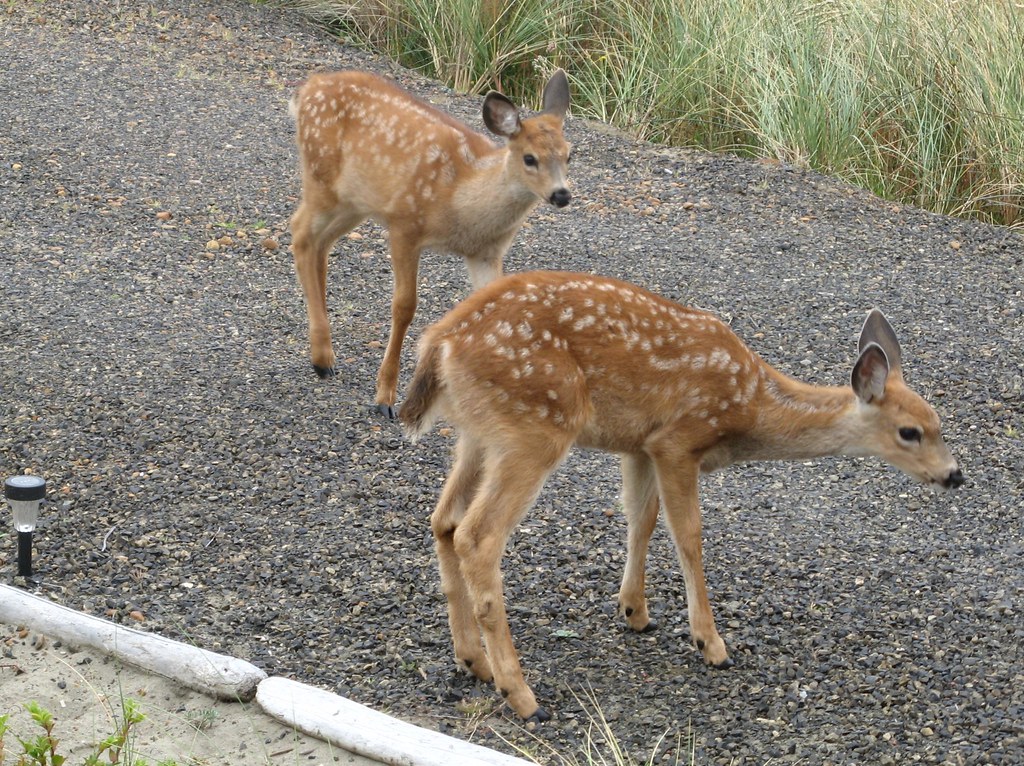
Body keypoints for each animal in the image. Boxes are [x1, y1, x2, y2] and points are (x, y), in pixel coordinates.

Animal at [288, 69, 572, 418]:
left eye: (569, 154)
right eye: (530, 158)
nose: (561, 194)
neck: (459, 197)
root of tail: (307, 88)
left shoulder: (486, 253)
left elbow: (494, 305)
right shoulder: (405, 224)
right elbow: (404, 306)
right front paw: (385, 397)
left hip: (355, 202)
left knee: (320, 243)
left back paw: (323, 351)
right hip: (322, 179)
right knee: (300, 233)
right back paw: (322, 359)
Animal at [400, 269, 964, 723]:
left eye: (940, 424)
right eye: (910, 432)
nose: (955, 475)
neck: (750, 407)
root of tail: (440, 344)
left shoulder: (639, 445)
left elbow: (641, 518)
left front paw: (634, 610)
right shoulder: (678, 439)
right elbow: (687, 534)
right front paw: (710, 642)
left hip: (480, 434)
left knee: (443, 521)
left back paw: (472, 660)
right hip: (534, 429)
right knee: (478, 536)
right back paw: (521, 694)